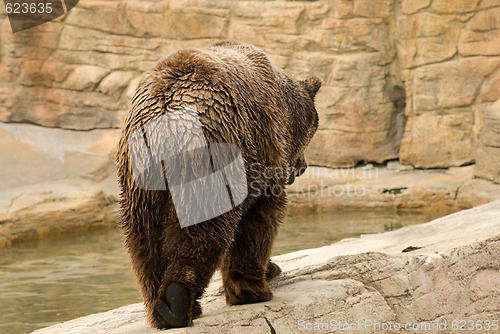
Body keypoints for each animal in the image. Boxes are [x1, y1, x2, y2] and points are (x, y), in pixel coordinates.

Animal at [115, 39, 322, 328]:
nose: (302, 167)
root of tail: (164, 124)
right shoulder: (261, 151)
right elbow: (259, 221)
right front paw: (254, 288)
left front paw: (269, 271)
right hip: (211, 154)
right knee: (205, 228)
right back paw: (177, 302)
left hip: (139, 180)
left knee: (143, 239)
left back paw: (160, 307)